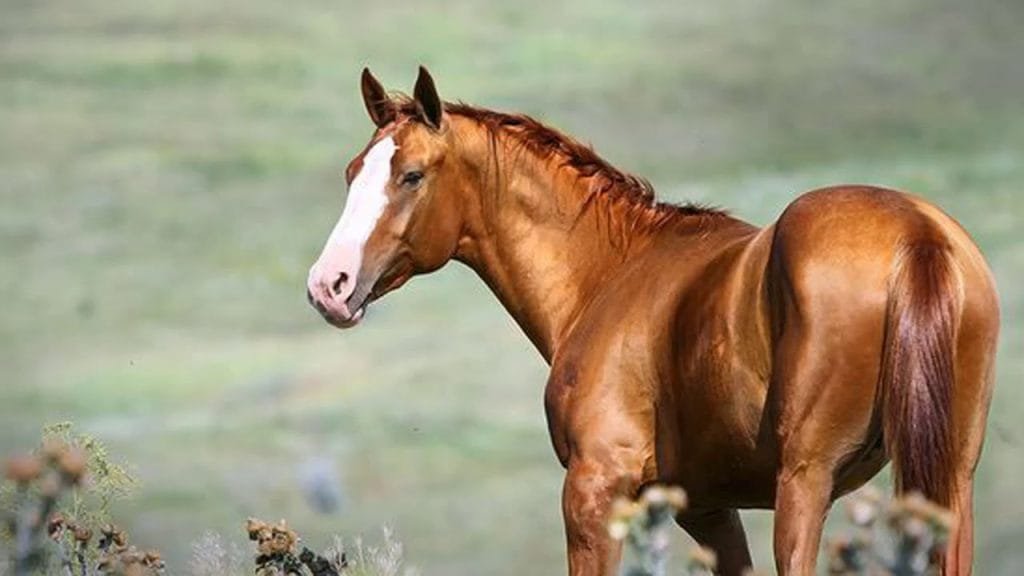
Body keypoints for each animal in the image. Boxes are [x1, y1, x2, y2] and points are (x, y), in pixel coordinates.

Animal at [306, 67, 999, 576]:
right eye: (352, 173)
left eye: (412, 175)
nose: (328, 285)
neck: (613, 273)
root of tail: (916, 236)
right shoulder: (707, 510)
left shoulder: (595, 493)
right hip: (951, 482)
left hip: (806, 483)